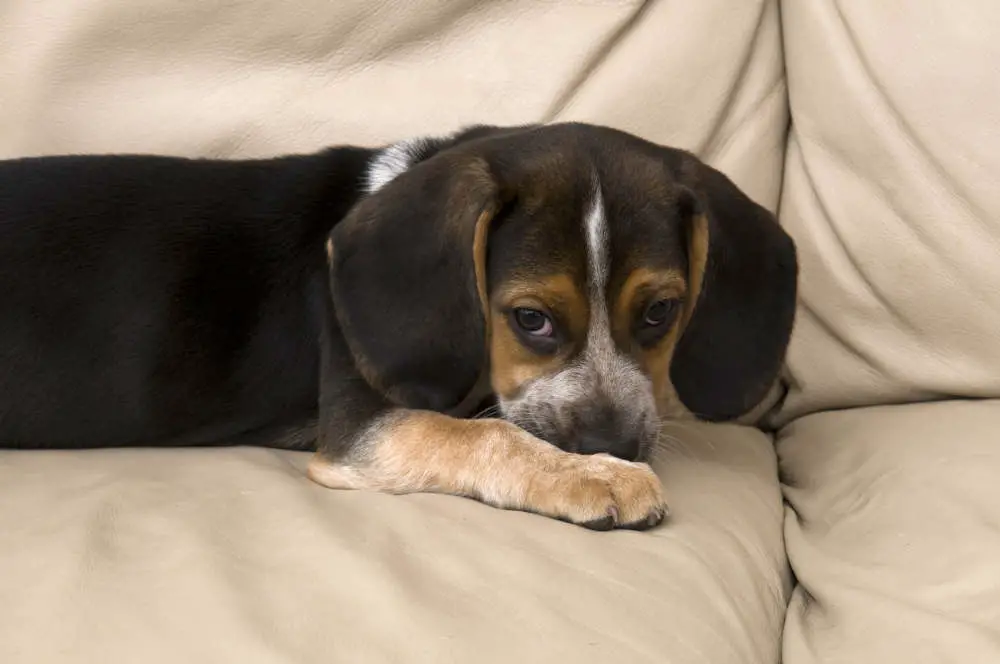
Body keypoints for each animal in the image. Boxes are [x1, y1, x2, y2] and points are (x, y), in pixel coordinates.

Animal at [0, 123, 796, 528]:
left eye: (660, 312)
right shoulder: (364, 424)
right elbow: (484, 435)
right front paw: (594, 476)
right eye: (530, 319)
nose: (614, 444)